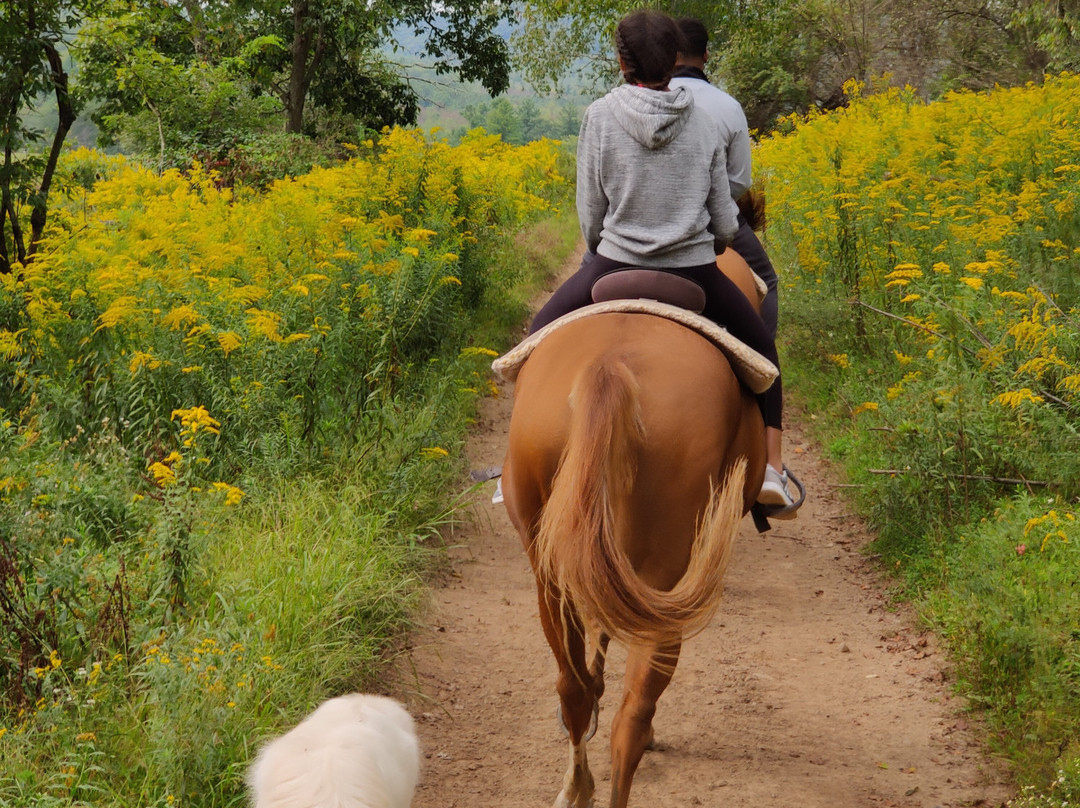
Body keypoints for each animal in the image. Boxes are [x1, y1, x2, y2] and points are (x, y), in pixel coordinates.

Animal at [496, 246, 768, 808]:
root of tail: (610, 368)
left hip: (548, 559)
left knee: (572, 686)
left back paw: (575, 783)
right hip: (668, 570)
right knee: (633, 717)